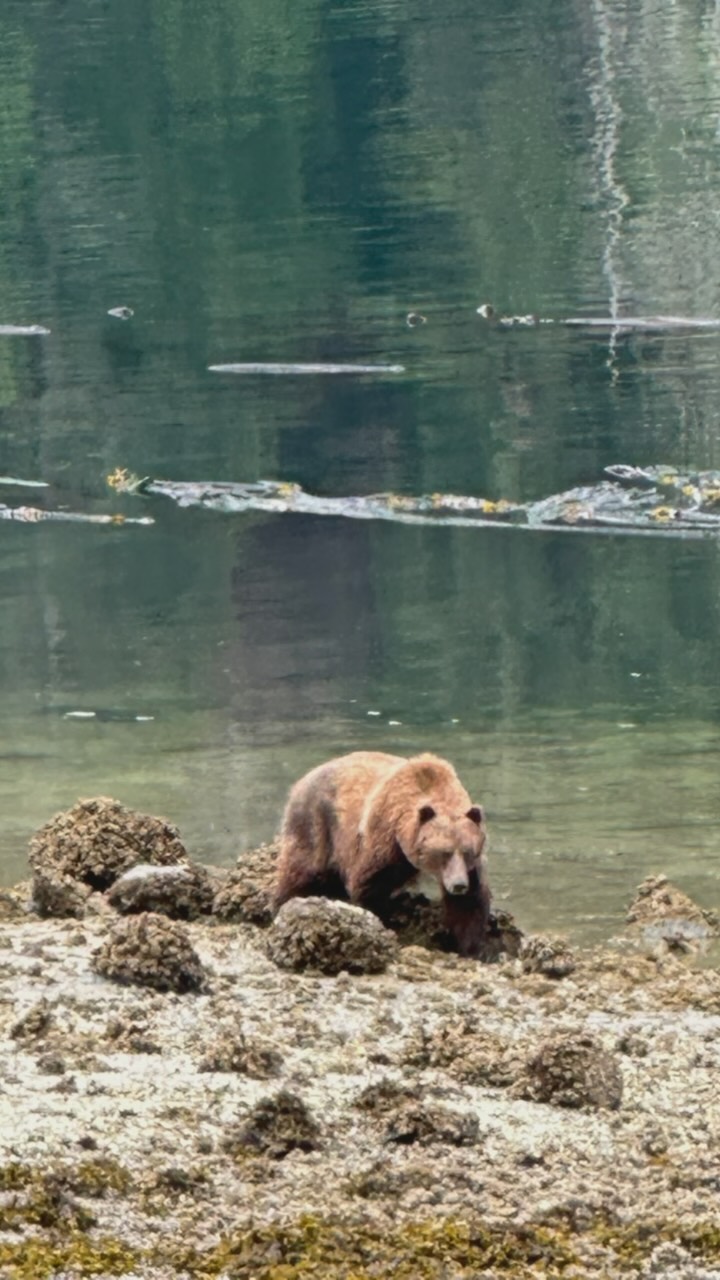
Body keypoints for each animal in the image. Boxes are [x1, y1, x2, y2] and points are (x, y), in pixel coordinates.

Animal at [274, 751, 490, 958]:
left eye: (468, 852)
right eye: (444, 852)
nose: (458, 884)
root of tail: (302, 779)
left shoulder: (469, 870)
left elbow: (468, 905)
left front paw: (471, 948)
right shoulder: (386, 841)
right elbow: (369, 884)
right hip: (316, 823)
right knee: (302, 871)